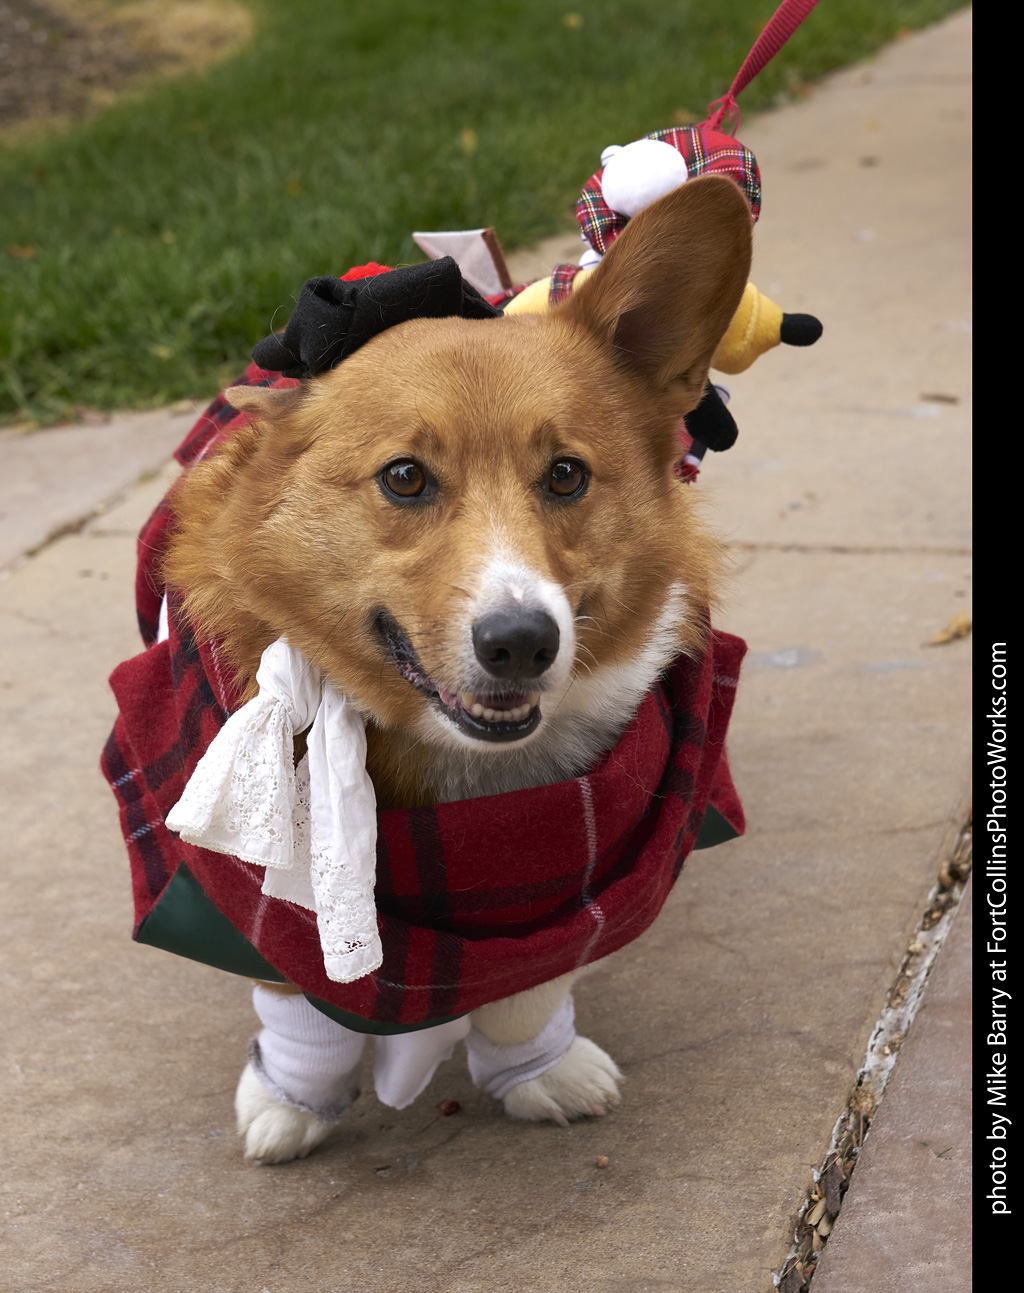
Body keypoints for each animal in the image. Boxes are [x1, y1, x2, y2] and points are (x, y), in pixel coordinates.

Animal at [160, 174, 749, 1163]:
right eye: (405, 477)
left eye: (565, 475)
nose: (521, 642)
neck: (468, 775)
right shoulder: (257, 895)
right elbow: (299, 996)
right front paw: (290, 1099)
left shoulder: (563, 889)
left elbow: (527, 991)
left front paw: (540, 1070)